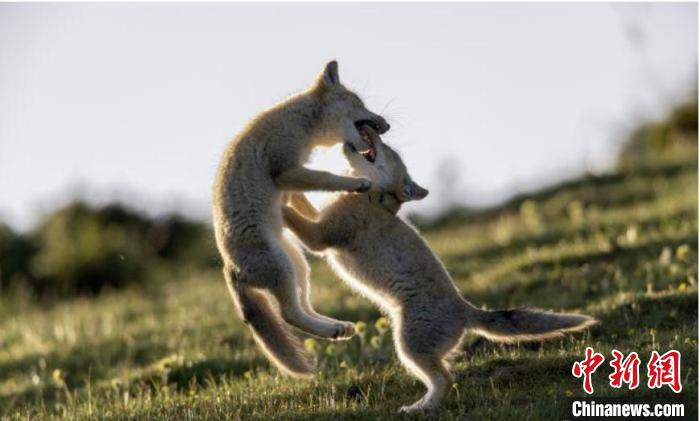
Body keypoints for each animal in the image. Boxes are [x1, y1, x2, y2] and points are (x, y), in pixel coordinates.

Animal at [211, 61, 392, 378]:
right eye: (360, 102)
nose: (387, 125)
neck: (299, 121)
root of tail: (230, 269)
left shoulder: (291, 182)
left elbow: (306, 202)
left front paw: (321, 213)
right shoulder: (286, 171)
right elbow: (326, 178)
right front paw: (357, 184)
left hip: (297, 264)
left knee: (303, 308)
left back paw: (338, 327)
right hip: (283, 267)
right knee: (289, 314)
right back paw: (331, 330)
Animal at [282, 126, 600, 412]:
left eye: (389, 151)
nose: (371, 130)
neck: (372, 198)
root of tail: (466, 309)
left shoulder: (320, 238)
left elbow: (292, 216)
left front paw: (279, 199)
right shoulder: (320, 222)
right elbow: (302, 201)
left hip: (408, 347)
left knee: (445, 379)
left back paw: (419, 409)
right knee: (444, 377)